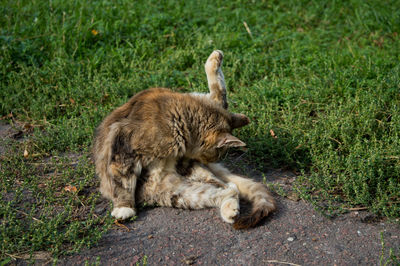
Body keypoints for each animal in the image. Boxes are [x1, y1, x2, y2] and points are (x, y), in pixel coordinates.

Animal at [93, 50, 276, 229]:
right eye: (217, 154)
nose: (211, 160)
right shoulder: (123, 145)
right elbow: (123, 181)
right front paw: (124, 207)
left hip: (184, 188)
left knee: (228, 187)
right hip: (175, 191)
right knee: (227, 188)